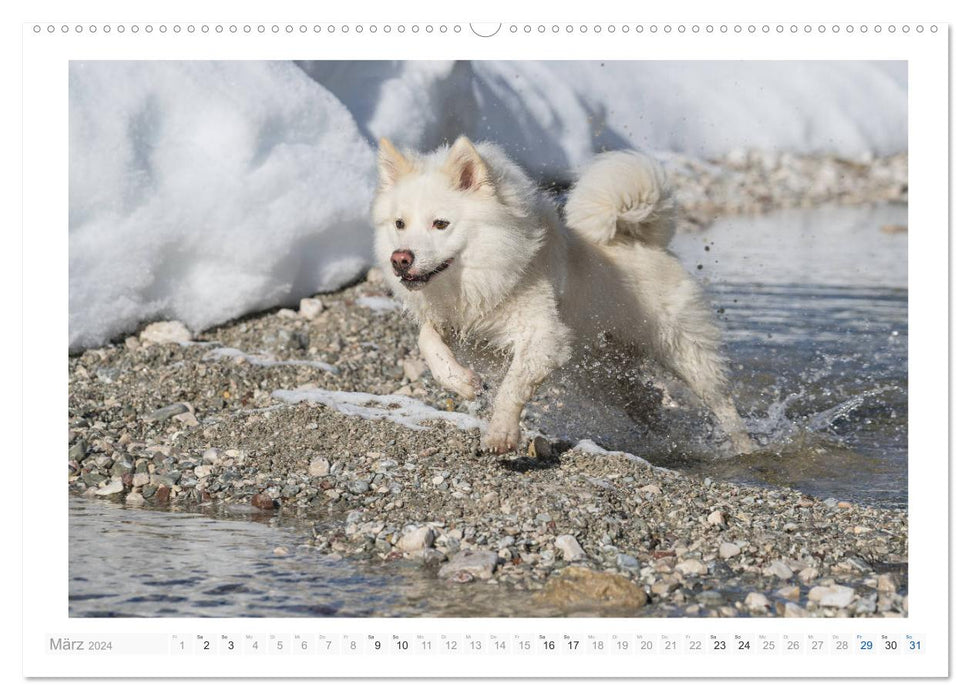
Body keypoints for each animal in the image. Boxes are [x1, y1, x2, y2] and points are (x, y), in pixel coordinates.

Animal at [372, 136, 752, 454]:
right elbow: (427, 341)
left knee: (722, 402)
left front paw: (501, 434)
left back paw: (744, 446)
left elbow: (512, 386)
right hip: (604, 375)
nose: (400, 259)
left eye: (441, 224)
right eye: (400, 224)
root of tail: (644, 241)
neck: (486, 270)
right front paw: (462, 383)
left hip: (684, 351)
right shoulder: (455, 320)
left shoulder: (544, 335)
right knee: (647, 400)